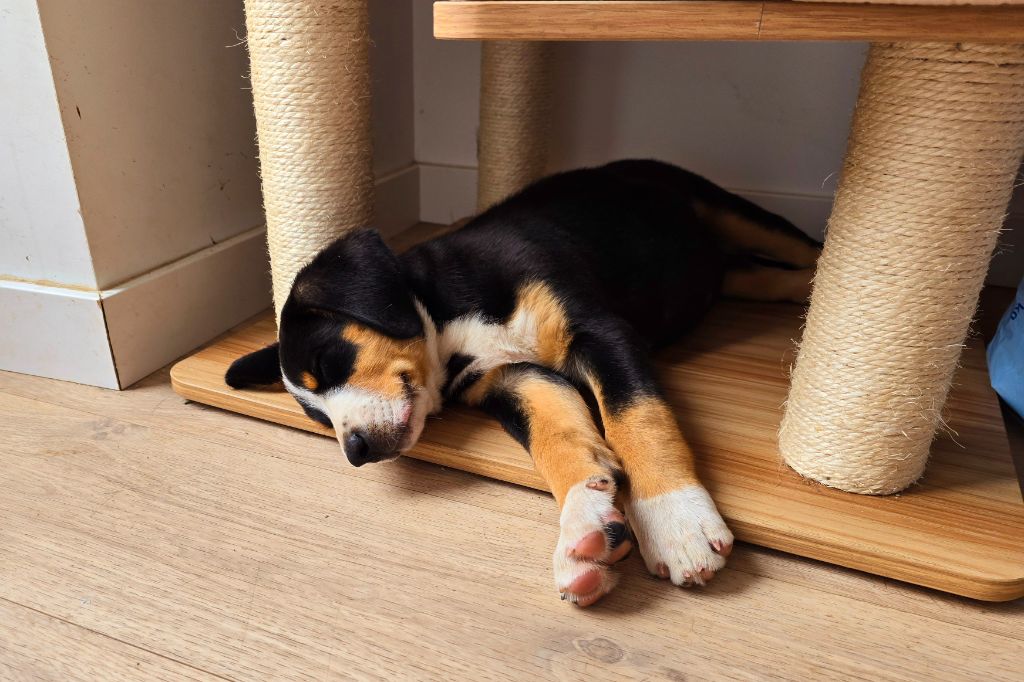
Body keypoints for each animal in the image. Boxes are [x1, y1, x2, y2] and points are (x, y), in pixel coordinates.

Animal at [228, 160, 819, 606]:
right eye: (317, 415)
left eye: (328, 361)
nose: (354, 451)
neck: (450, 327)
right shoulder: (515, 380)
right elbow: (558, 441)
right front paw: (583, 525)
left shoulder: (599, 332)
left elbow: (639, 419)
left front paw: (675, 521)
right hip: (727, 270)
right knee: (764, 278)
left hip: (731, 210)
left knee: (806, 248)